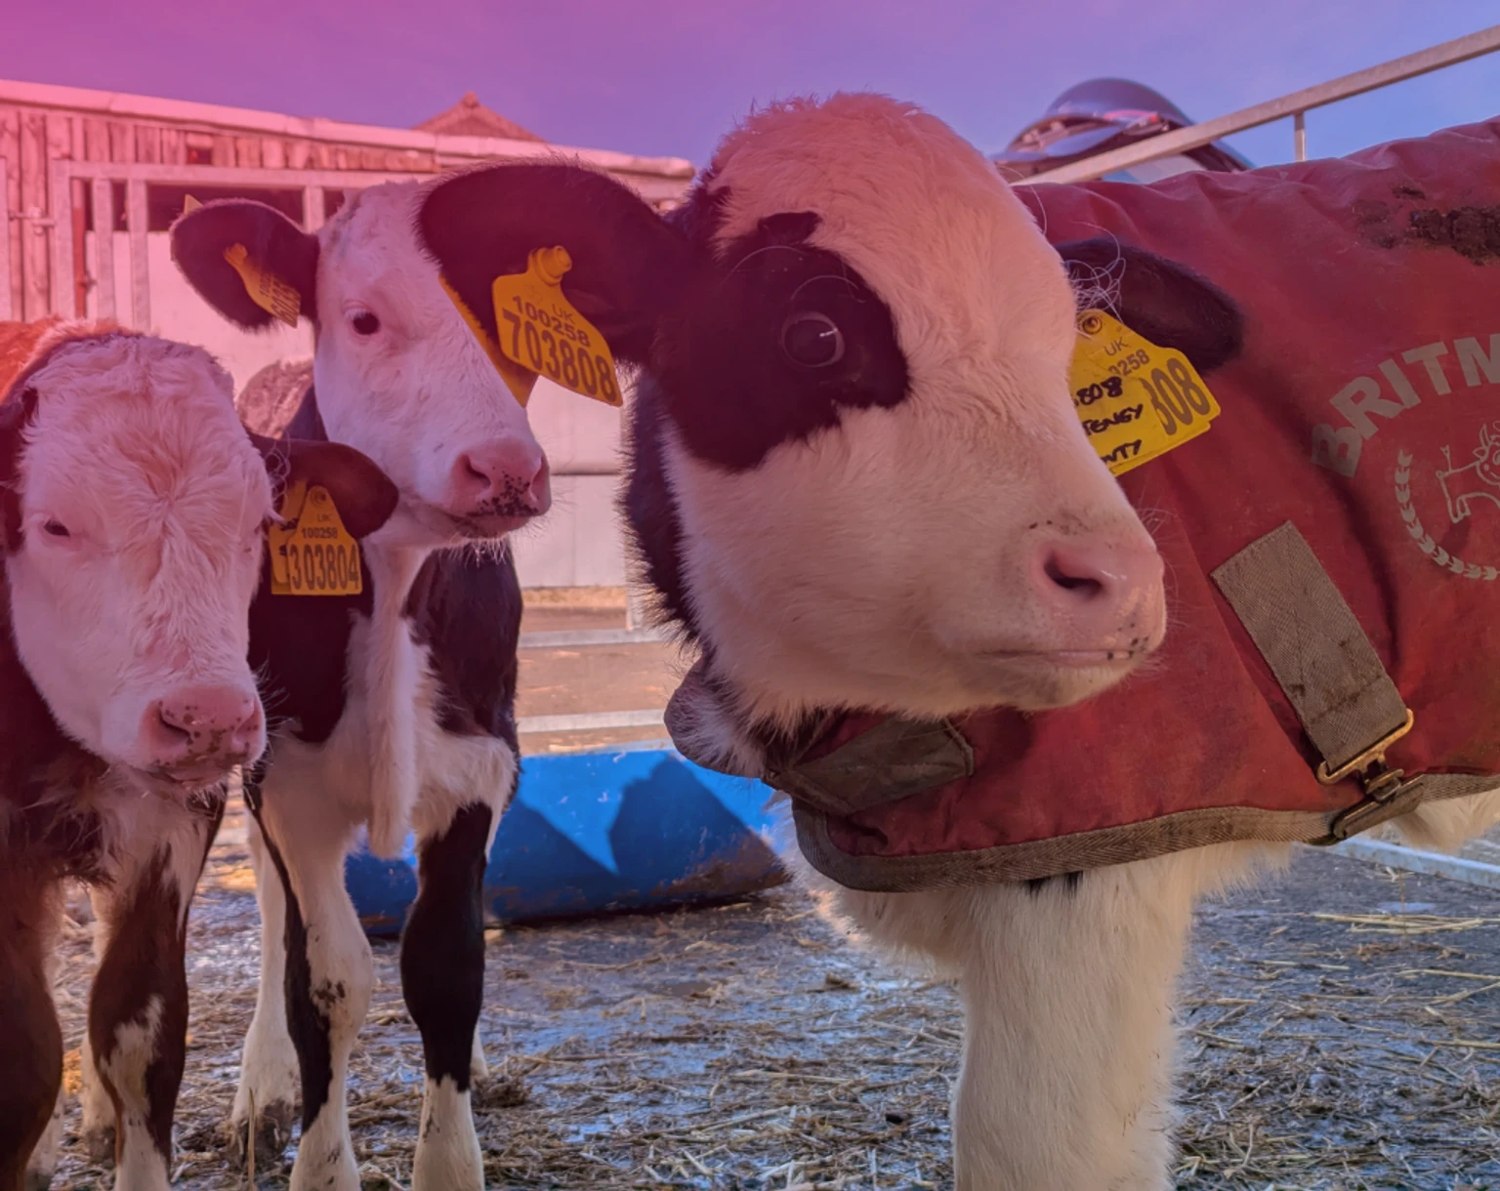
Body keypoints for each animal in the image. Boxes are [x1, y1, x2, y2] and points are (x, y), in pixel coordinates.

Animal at [0, 317, 395, 1191]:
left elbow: (139, 1033)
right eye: (54, 524)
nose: (207, 717)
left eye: (258, 523)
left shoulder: (173, 828)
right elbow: (25, 1054)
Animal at [166, 180, 551, 1190]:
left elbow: (447, 964)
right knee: (271, 915)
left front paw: (450, 1153)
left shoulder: (482, 762)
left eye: (508, 328)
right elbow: (326, 977)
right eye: (364, 318)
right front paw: (316, 1149)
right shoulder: (284, 781)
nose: (508, 469)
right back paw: (260, 1089)